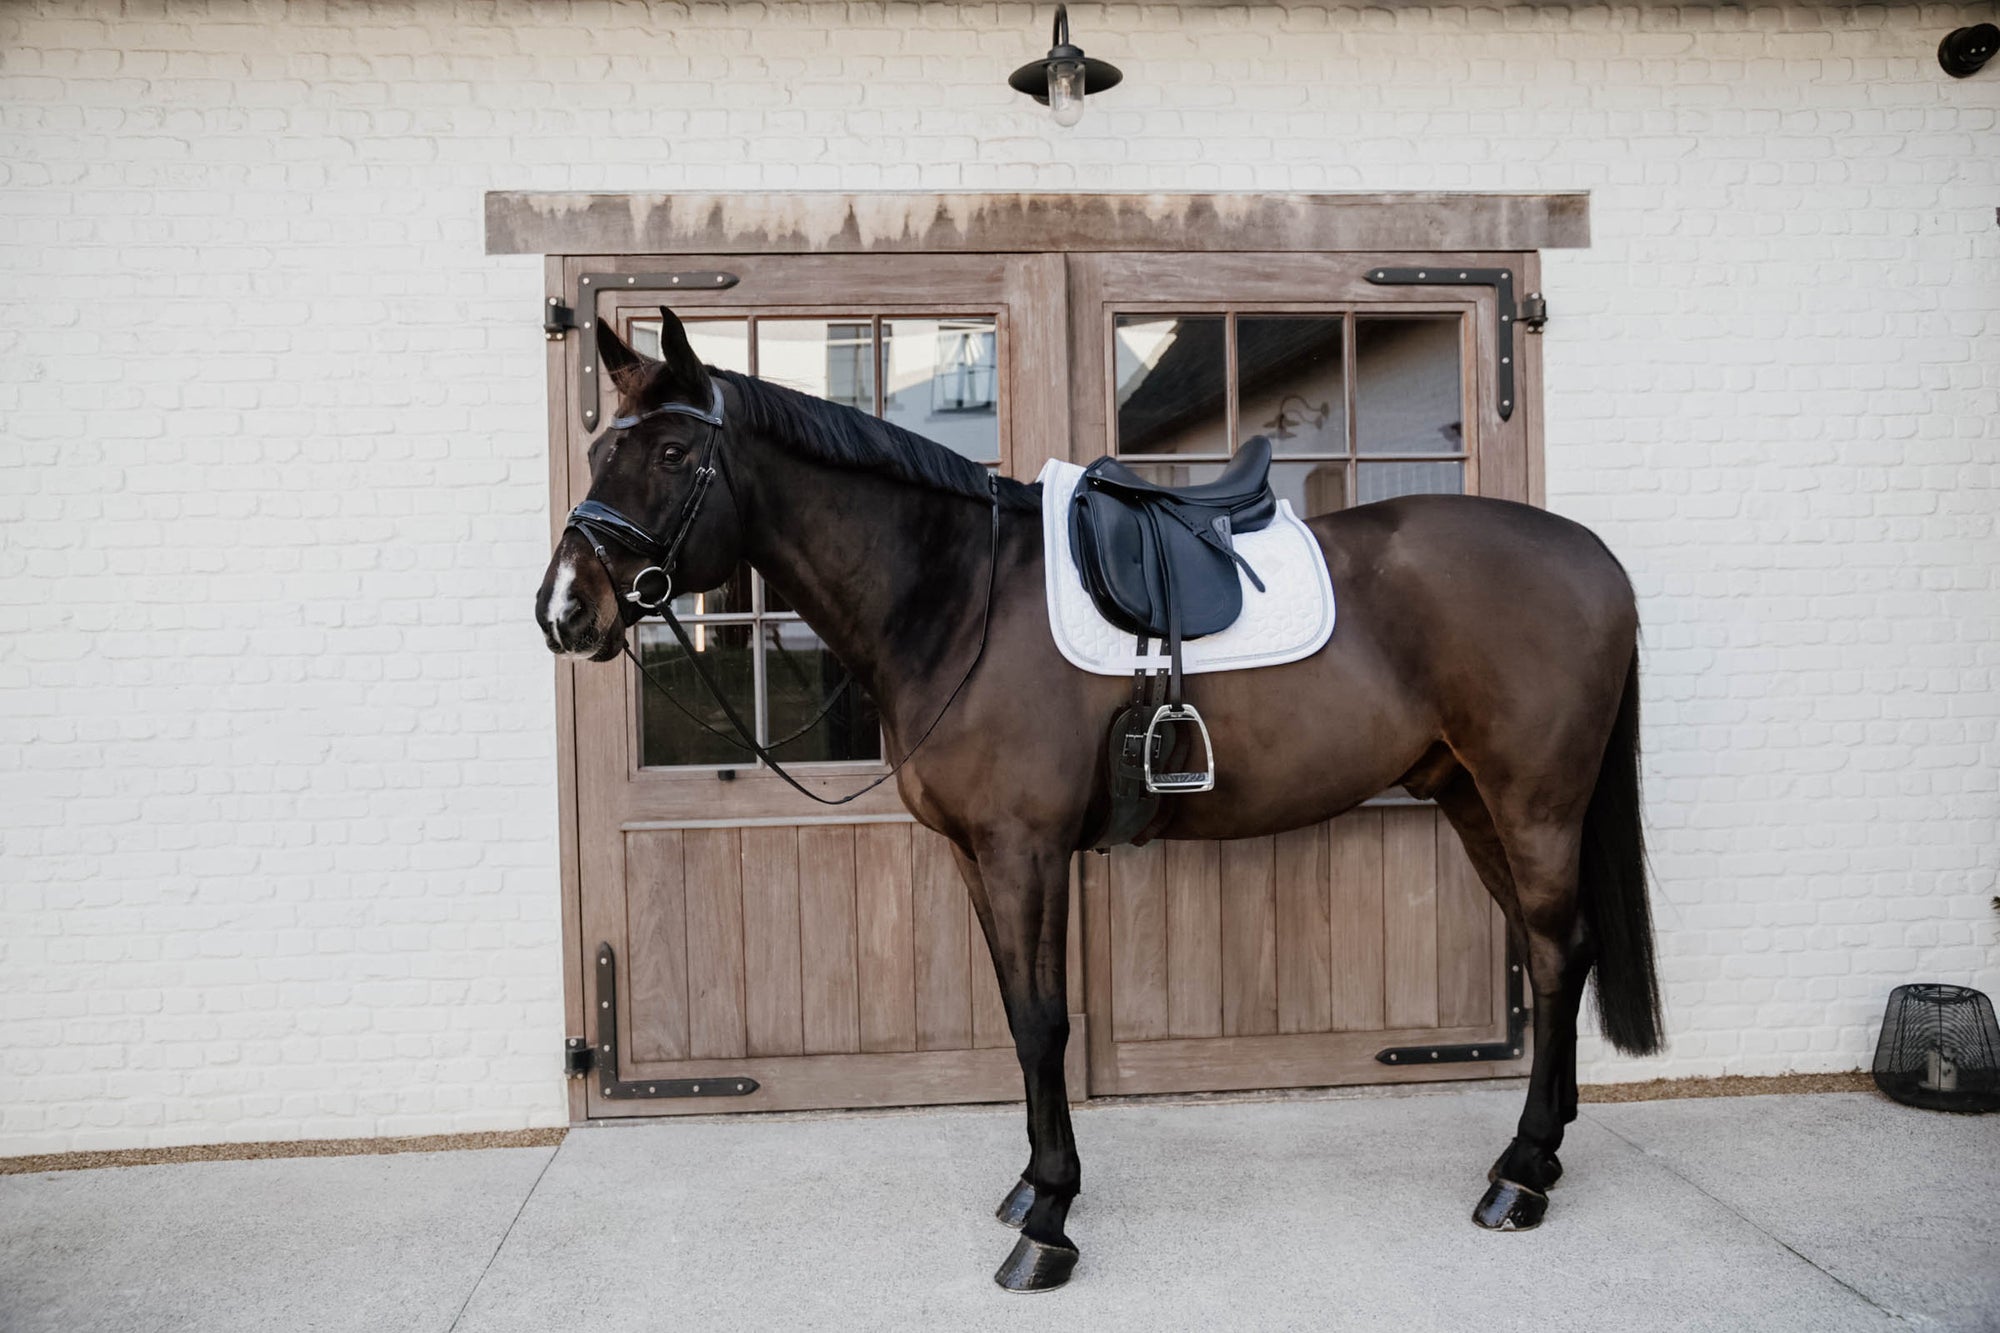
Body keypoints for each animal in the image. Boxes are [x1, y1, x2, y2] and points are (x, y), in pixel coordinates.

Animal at [540, 312, 1664, 1288]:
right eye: (598, 452)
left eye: (674, 454)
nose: (563, 609)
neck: (961, 597)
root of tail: (1594, 558)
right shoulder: (975, 854)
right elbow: (1013, 1012)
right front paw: (1031, 1186)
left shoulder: (1024, 849)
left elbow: (1043, 1023)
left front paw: (1046, 1223)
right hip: (1471, 797)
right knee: (1554, 950)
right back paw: (1535, 1159)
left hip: (1533, 800)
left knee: (1556, 953)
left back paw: (1519, 1177)